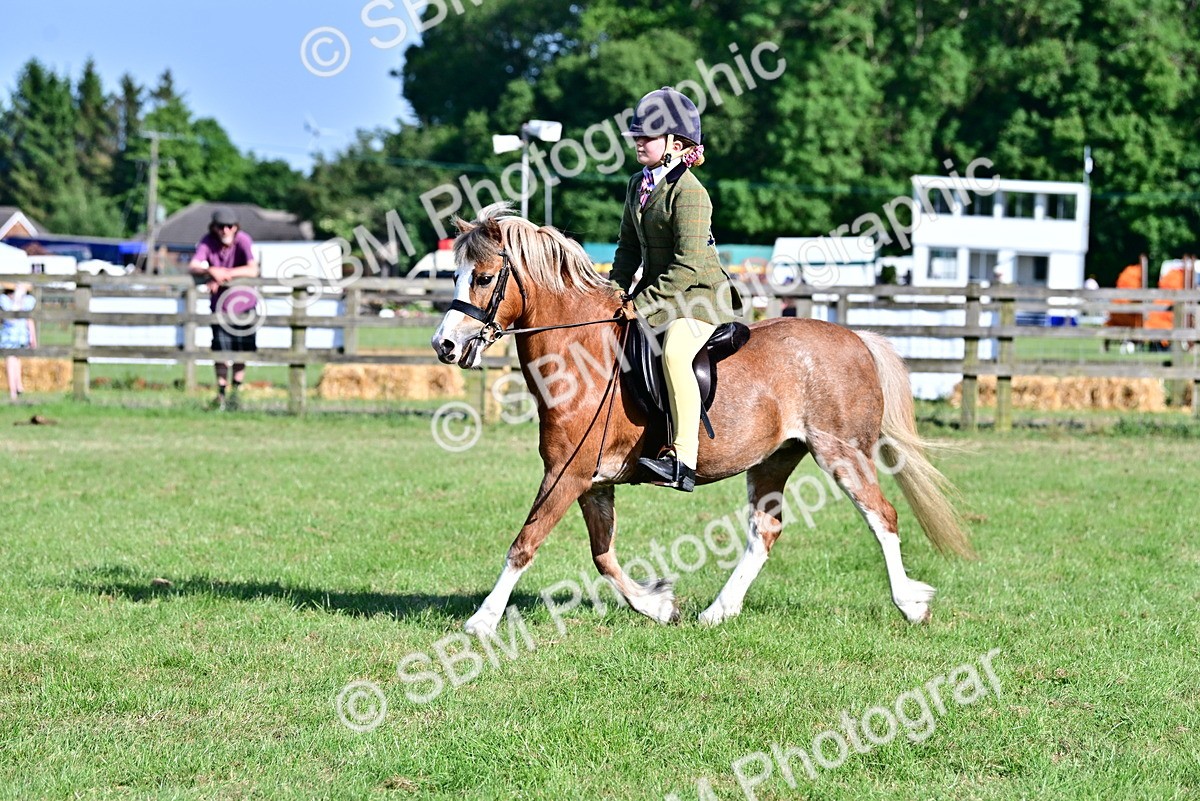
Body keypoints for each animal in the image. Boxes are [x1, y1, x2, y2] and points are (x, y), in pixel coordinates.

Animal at [432, 204, 973, 636]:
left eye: (483, 278)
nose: (444, 346)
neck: (583, 357)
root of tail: (857, 337)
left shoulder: (567, 475)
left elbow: (524, 544)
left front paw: (482, 621)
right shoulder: (590, 480)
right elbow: (603, 555)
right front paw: (657, 605)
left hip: (842, 451)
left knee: (881, 516)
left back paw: (910, 605)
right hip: (775, 458)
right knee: (765, 529)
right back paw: (718, 611)